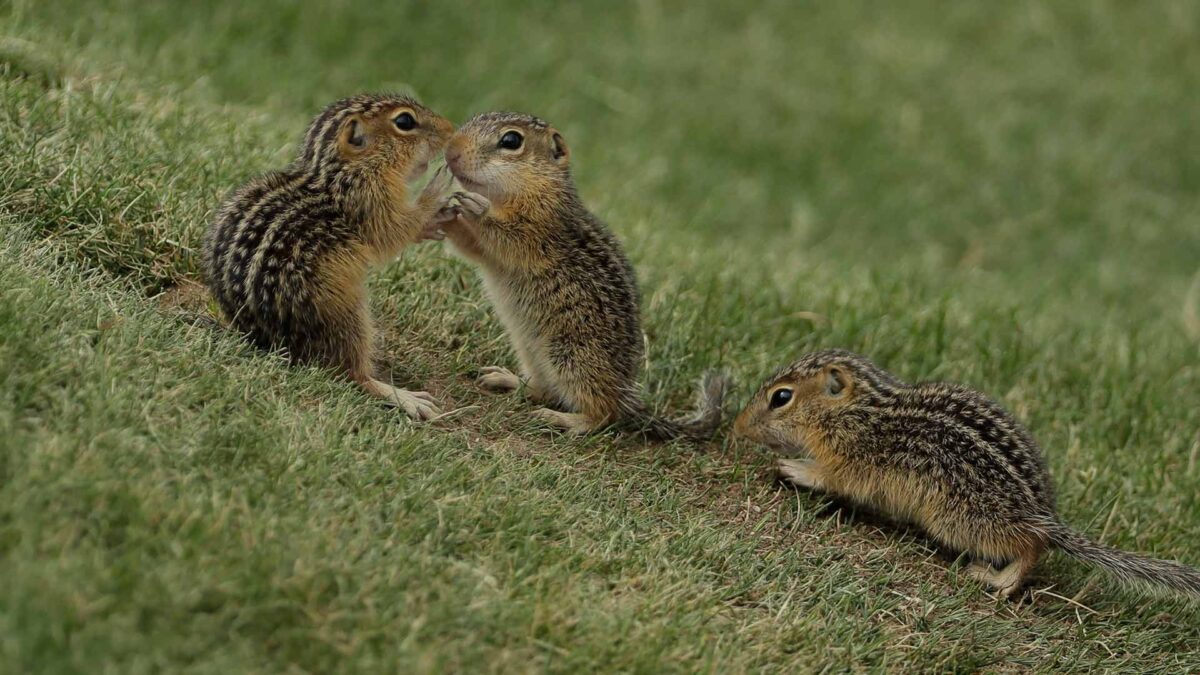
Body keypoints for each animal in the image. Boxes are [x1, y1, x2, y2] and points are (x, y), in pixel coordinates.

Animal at [202, 93, 453, 420]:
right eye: (404, 121)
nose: (451, 130)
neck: (339, 172)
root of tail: (267, 342)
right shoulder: (368, 200)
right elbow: (393, 232)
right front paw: (437, 190)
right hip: (345, 314)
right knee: (351, 373)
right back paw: (406, 398)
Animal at [432, 112, 729, 439]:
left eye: (511, 140)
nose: (451, 151)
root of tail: (626, 394)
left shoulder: (540, 226)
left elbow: (508, 236)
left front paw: (475, 208)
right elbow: (472, 247)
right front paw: (444, 207)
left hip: (573, 358)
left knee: (604, 414)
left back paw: (563, 419)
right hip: (533, 354)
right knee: (545, 390)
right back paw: (507, 380)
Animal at [729, 348, 1200, 595]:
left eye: (781, 397)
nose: (737, 426)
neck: (858, 412)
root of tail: (1041, 515)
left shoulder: (852, 462)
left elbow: (828, 477)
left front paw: (792, 466)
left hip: (960, 520)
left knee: (1031, 549)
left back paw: (998, 579)